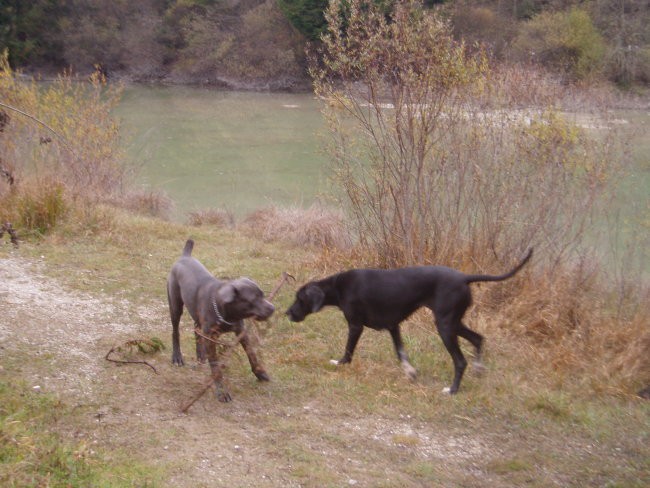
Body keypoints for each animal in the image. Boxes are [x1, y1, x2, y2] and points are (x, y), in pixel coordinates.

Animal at [167, 238, 274, 402]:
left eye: (262, 294)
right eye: (253, 299)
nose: (273, 308)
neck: (225, 311)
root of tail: (184, 256)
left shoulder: (241, 332)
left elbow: (252, 354)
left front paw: (260, 373)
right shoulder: (211, 339)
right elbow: (216, 367)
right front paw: (222, 391)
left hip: (197, 317)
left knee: (196, 331)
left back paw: (201, 356)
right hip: (175, 306)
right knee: (175, 332)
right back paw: (177, 357)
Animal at [286, 250, 528, 394]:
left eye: (299, 299)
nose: (287, 313)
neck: (338, 286)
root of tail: (464, 278)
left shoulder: (355, 326)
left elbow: (348, 351)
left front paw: (339, 362)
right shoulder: (393, 326)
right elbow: (401, 352)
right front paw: (410, 372)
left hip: (445, 326)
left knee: (460, 361)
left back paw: (452, 389)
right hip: (453, 322)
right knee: (478, 338)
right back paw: (478, 368)